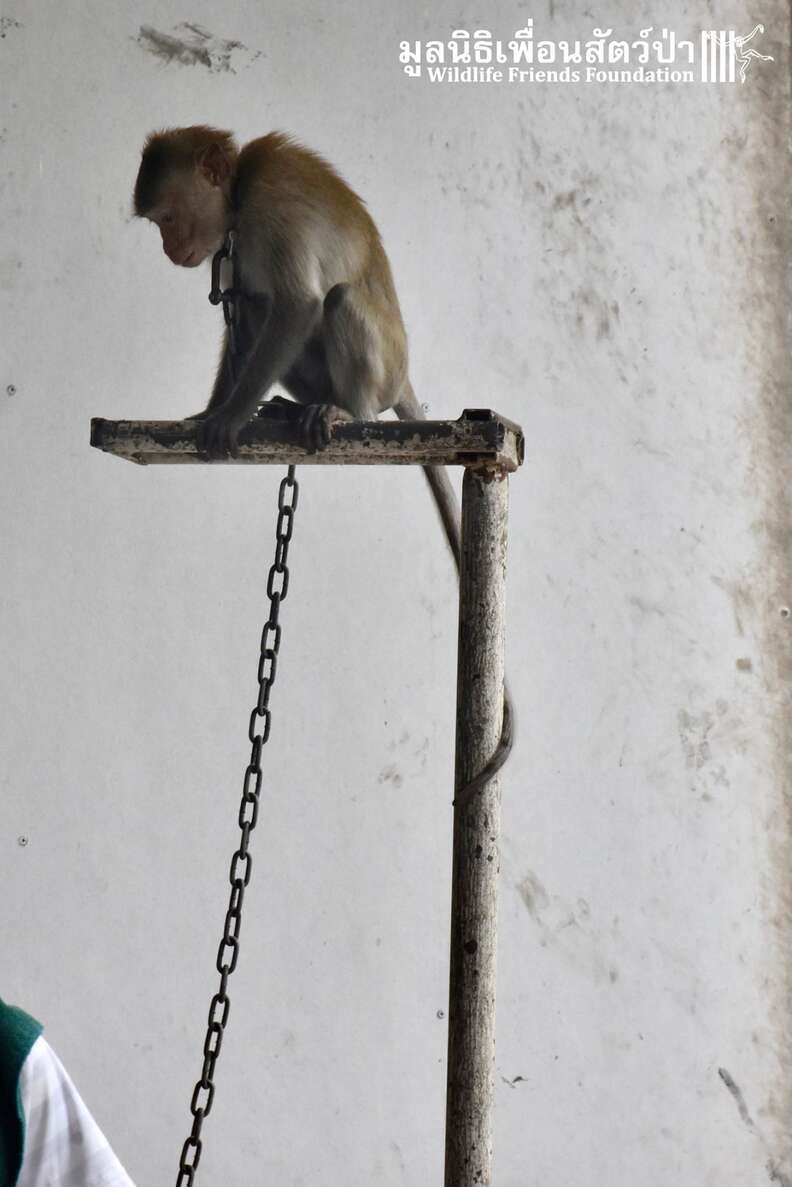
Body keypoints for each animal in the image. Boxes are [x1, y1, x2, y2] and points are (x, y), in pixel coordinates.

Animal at [132, 126, 511, 801]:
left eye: (168, 219)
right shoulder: (230, 248)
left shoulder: (267, 212)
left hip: (379, 367)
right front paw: (211, 409)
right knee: (255, 304)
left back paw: (337, 411)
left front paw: (229, 417)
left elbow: (299, 304)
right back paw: (288, 408)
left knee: (334, 301)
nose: (170, 249)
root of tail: (402, 377)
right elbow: (249, 311)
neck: (236, 197)